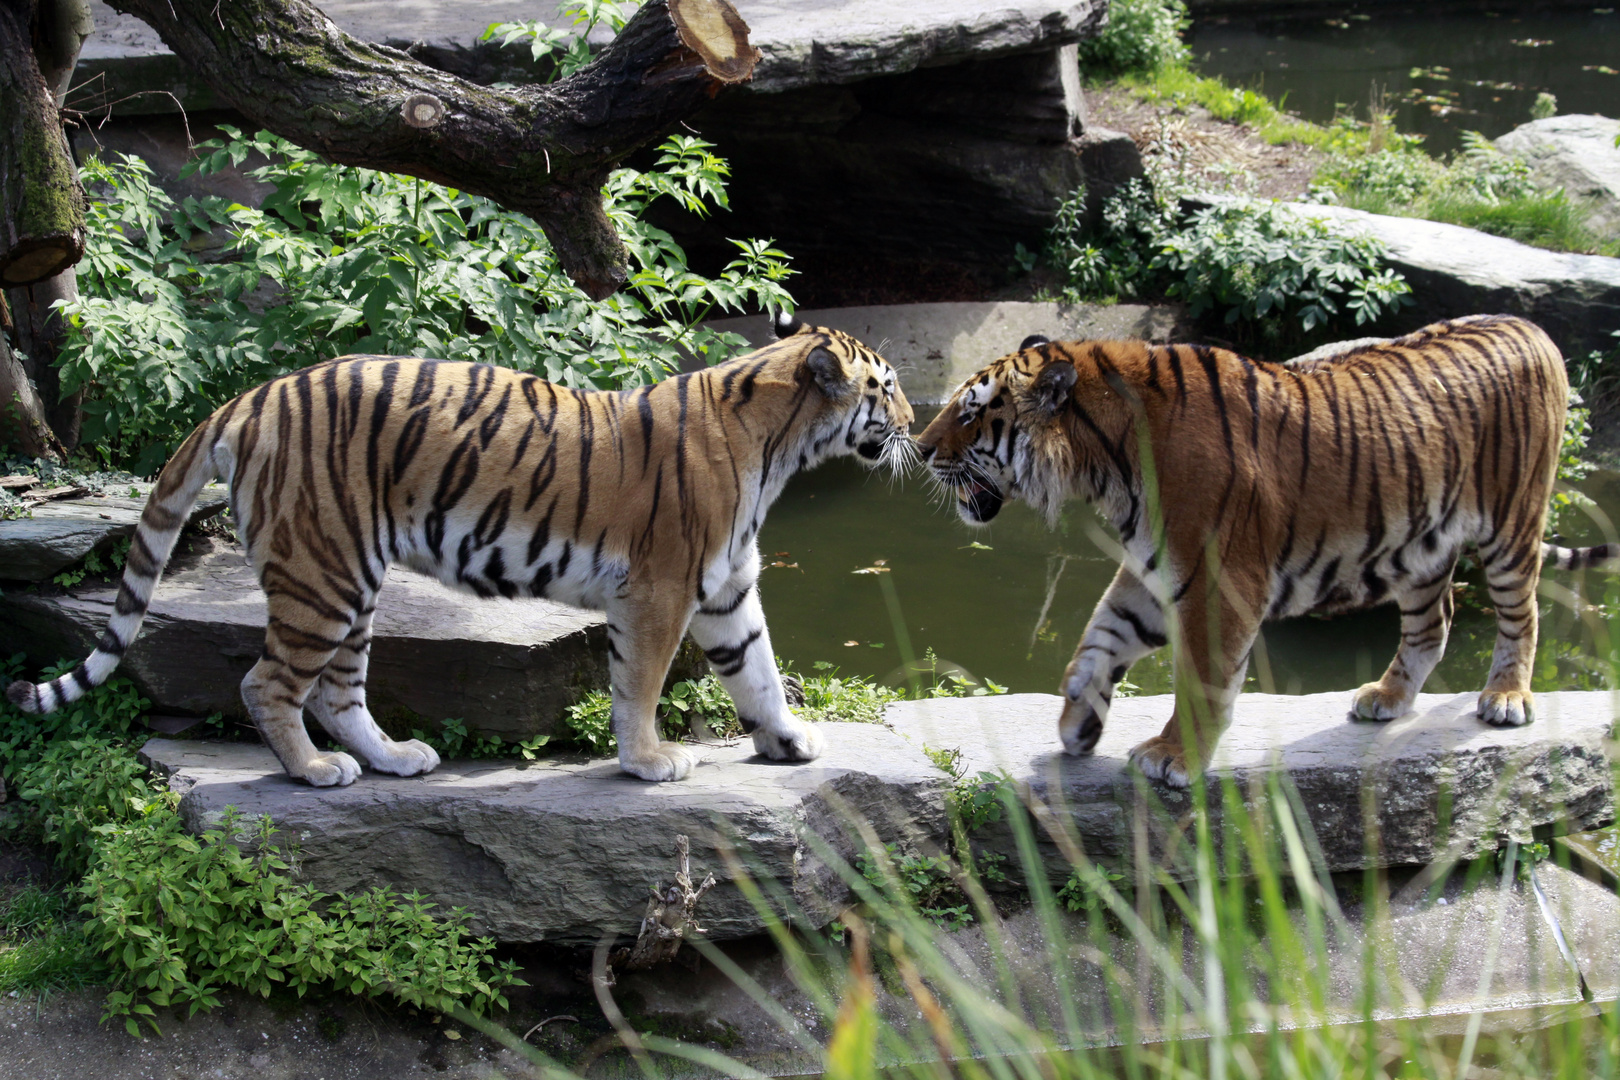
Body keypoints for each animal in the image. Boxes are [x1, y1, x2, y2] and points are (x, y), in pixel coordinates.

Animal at [6, 312, 913, 786]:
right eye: (889, 386)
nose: (911, 425)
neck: (781, 447)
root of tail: (250, 397)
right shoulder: (661, 590)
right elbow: (641, 686)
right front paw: (651, 761)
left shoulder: (725, 588)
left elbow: (757, 669)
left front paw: (788, 742)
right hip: (321, 575)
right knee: (267, 682)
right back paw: (314, 771)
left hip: (351, 579)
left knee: (337, 690)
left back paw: (394, 758)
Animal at [920, 317, 1613, 790]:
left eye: (970, 413)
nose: (921, 449)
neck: (1104, 463)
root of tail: (1532, 327)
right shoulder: (1152, 570)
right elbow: (1096, 644)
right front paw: (1079, 726)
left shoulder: (1219, 582)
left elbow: (1201, 680)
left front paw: (1173, 757)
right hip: (1421, 545)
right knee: (1432, 626)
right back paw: (1386, 700)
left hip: (1510, 524)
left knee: (1523, 615)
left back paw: (1506, 699)